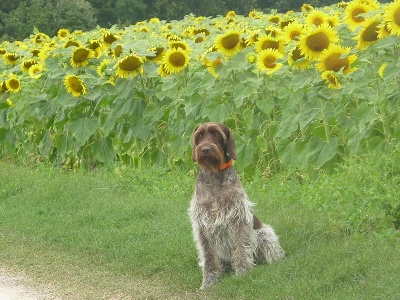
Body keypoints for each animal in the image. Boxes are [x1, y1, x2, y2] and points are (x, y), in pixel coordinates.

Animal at [188, 122, 284, 288]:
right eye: (199, 135)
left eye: (217, 134)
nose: (205, 149)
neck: (214, 175)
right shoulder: (202, 224)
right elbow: (208, 256)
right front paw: (209, 281)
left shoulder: (239, 219)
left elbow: (241, 248)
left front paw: (242, 274)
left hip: (264, 233)